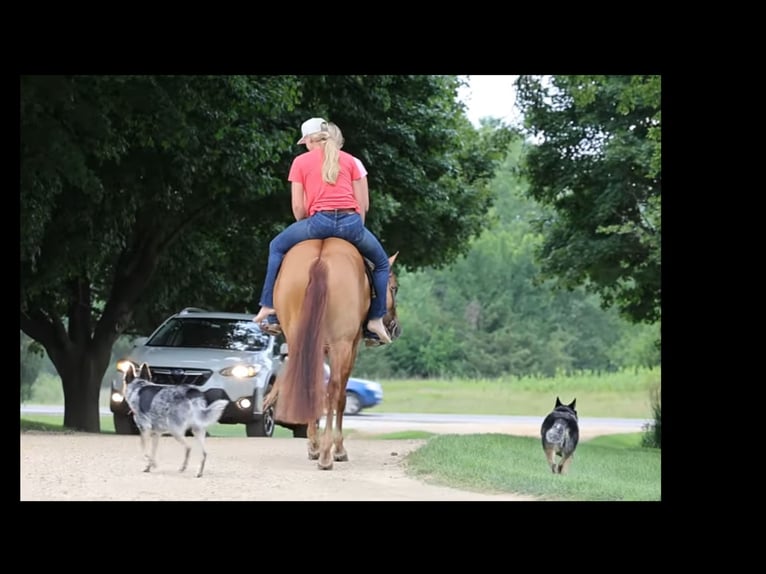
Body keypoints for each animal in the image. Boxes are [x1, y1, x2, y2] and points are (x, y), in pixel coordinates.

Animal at [265, 237, 399, 470]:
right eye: (394, 288)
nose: (395, 328)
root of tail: (321, 259)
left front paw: (313, 446)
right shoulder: (350, 348)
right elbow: (342, 396)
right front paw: (338, 450)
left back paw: (316, 447)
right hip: (341, 345)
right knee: (334, 390)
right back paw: (327, 454)